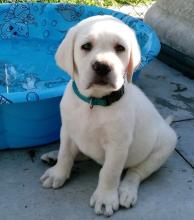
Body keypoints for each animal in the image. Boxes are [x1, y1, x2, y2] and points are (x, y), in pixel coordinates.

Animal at [41, 15, 177, 217]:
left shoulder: (117, 146)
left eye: (120, 48)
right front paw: (58, 173)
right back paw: (53, 155)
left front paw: (105, 198)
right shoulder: (67, 131)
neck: (94, 102)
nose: (102, 67)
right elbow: (66, 153)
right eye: (86, 46)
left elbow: (109, 172)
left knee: (135, 172)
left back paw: (126, 191)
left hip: (164, 147)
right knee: (79, 154)